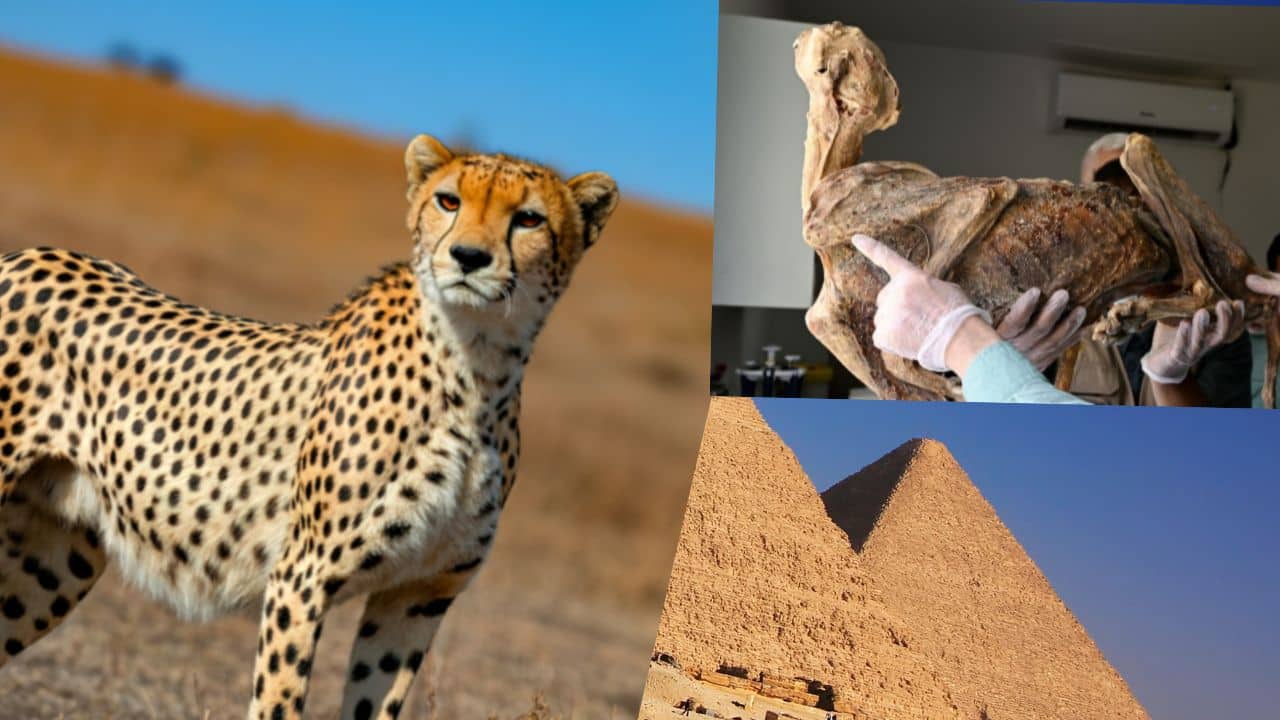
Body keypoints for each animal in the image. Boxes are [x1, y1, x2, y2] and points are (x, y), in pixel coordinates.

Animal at [0, 133, 618, 719]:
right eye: (449, 201)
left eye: (529, 218)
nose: (468, 257)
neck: (478, 368)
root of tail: (27, 253)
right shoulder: (301, 579)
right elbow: (280, 699)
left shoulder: (419, 595)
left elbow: (375, 702)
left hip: (56, 558)